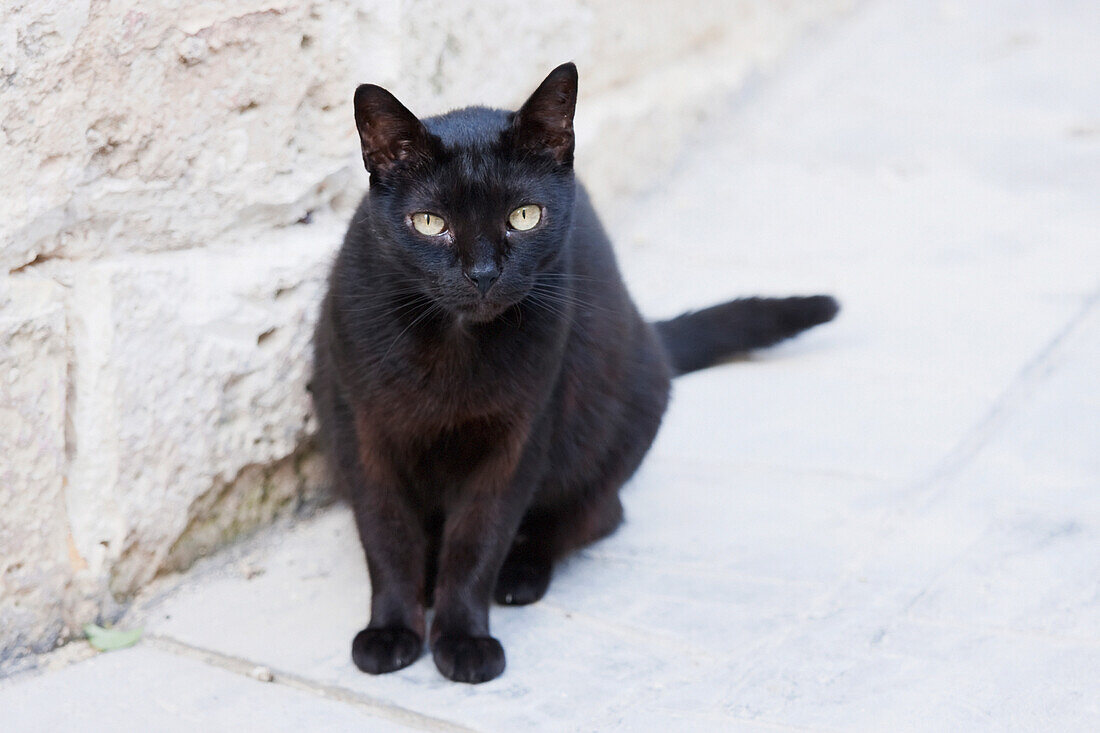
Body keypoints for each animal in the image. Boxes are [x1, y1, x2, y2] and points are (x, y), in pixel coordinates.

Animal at [310, 61, 831, 677]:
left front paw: (463, 638)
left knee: (597, 514)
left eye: (524, 216)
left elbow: (479, 538)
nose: (482, 273)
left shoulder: (518, 436)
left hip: (622, 414)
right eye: (430, 223)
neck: (455, 347)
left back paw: (519, 574)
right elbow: (386, 534)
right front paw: (391, 629)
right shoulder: (361, 430)